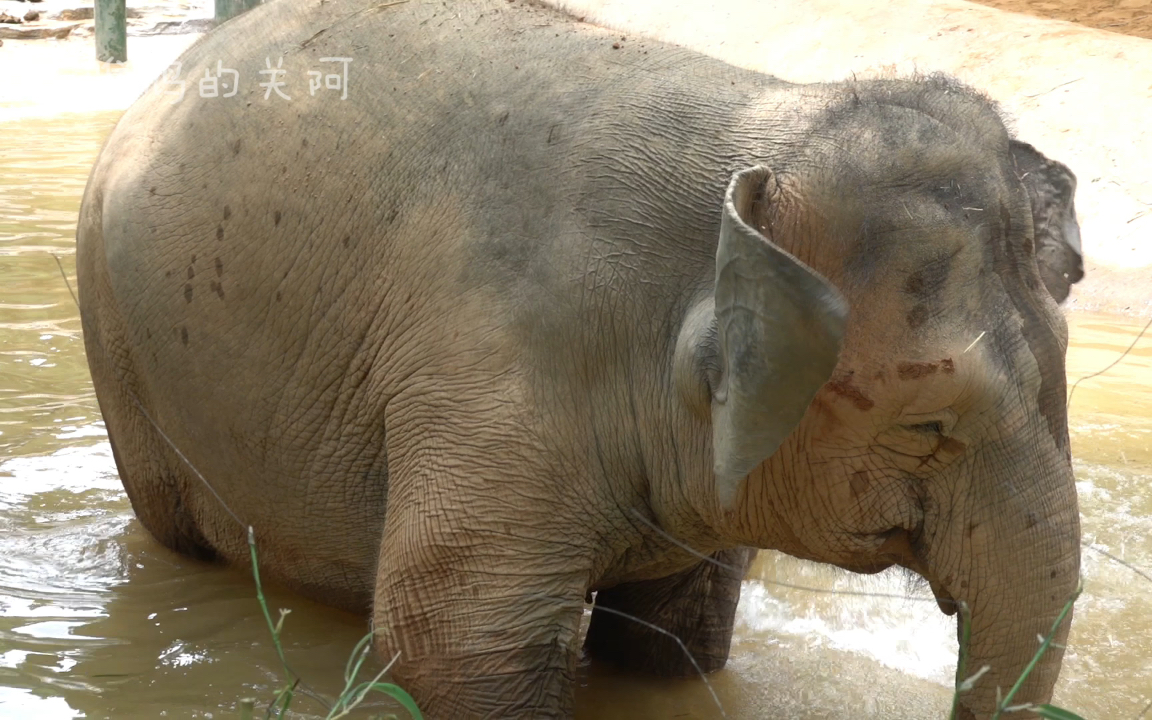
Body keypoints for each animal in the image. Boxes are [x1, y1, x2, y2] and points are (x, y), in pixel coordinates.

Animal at [76, 1, 1082, 718]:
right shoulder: (490, 372)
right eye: (928, 425)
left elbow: (673, 639)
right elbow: (455, 644)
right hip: (117, 344)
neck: (757, 140)